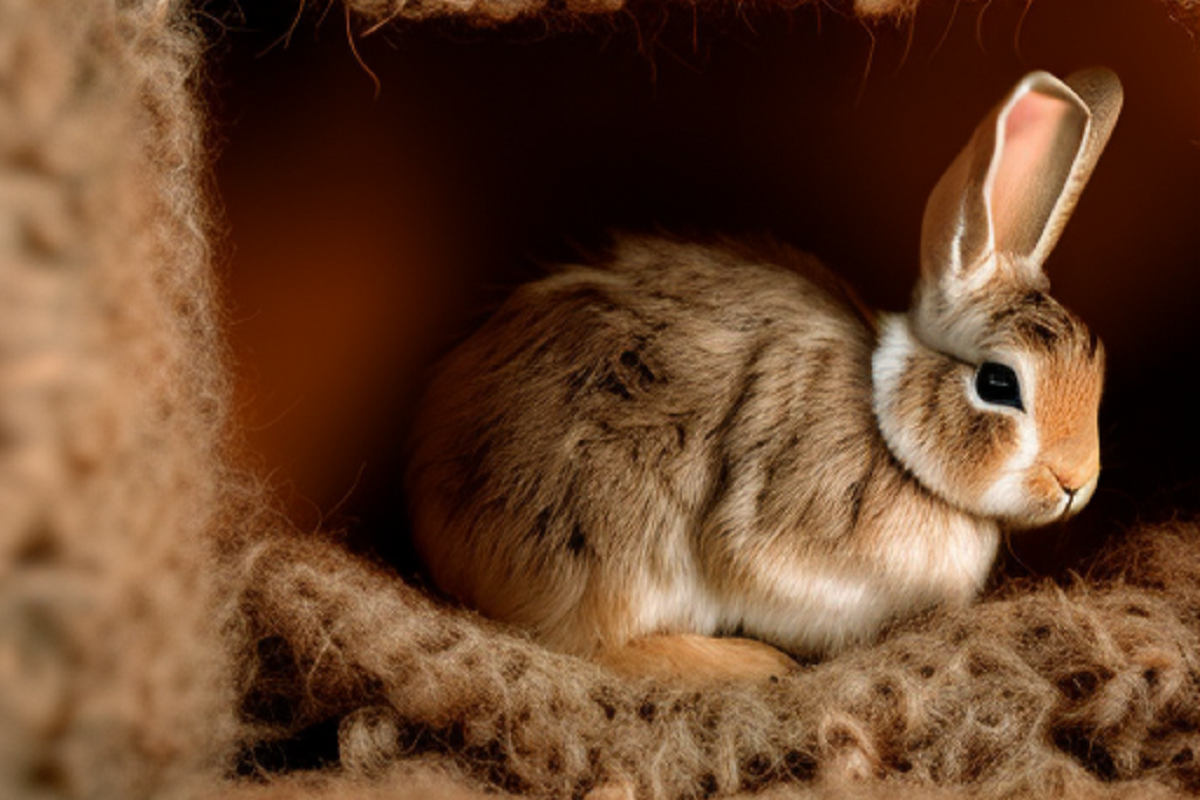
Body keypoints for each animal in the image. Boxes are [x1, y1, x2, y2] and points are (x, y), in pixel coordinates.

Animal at [405, 69, 1123, 684]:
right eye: (999, 384)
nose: (1076, 483)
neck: (893, 433)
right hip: (615, 544)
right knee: (596, 644)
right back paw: (752, 662)